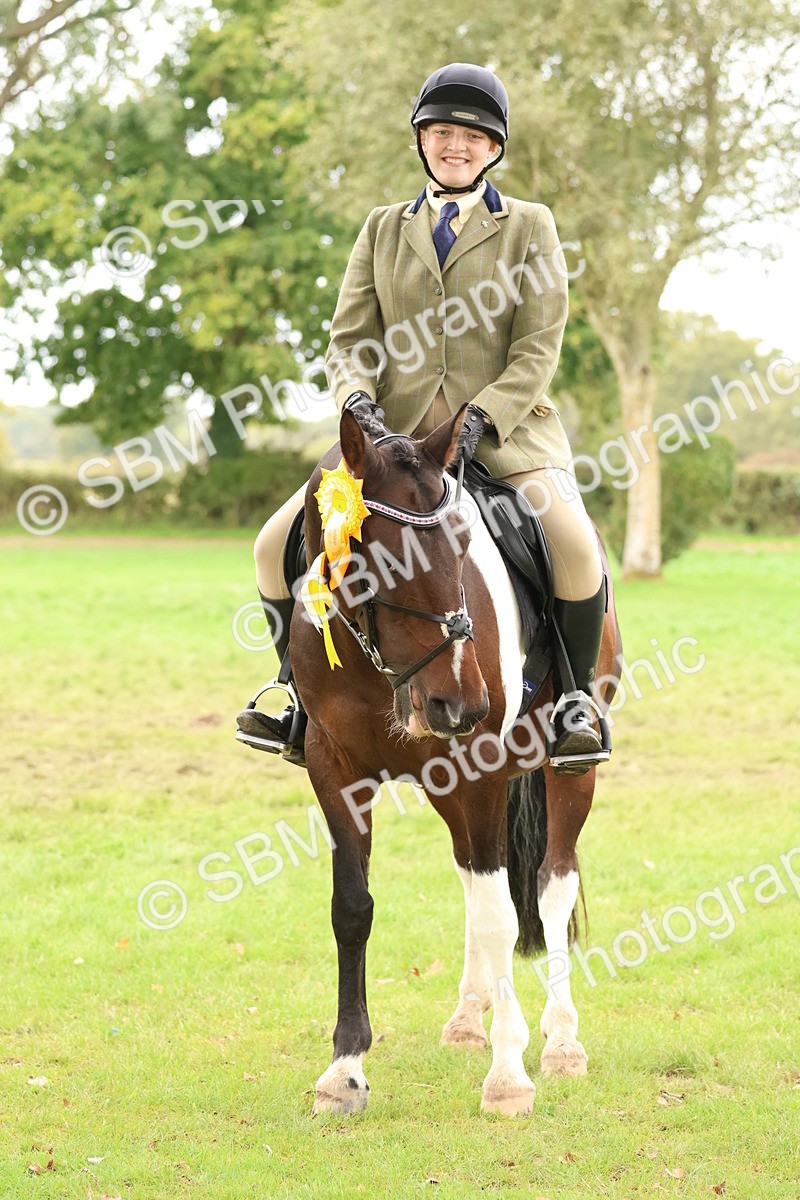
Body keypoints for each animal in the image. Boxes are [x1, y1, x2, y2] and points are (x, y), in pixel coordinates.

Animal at [286, 403, 623, 1117]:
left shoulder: (482, 769)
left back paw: (560, 1040)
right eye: (383, 557)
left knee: (550, 887)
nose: (462, 703)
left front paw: (508, 1077)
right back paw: (471, 1016)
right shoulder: (335, 769)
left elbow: (503, 917)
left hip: (564, 771)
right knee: (473, 875)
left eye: (465, 545)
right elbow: (352, 908)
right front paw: (345, 1071)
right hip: (446, 787)